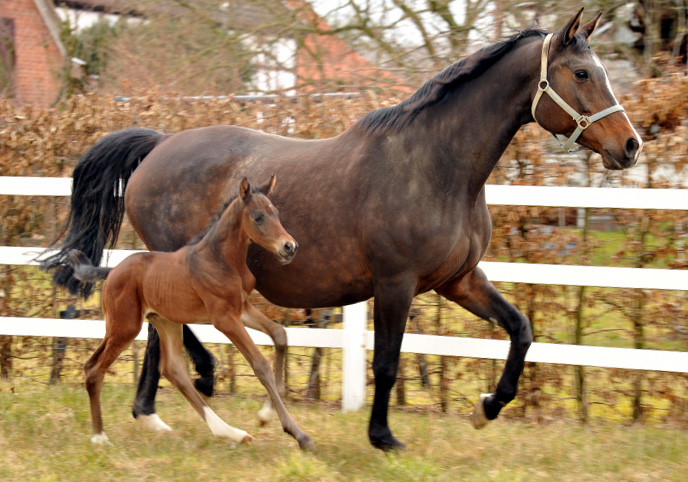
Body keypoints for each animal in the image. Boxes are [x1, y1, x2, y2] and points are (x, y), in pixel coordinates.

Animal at [68, 176, 312, 448]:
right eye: (258, 216)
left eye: (276, 213)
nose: (289, 246)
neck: (221, 260)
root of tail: (111, 272)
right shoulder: (224, 318)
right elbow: (260, 364)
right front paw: (297, 433)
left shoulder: (242, 308)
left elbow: (280, 334)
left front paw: (266, 415)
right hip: (125, 327)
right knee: (94, 369)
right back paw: (99, 437)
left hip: (165, 322)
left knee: (173, 370)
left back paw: (231, 432)